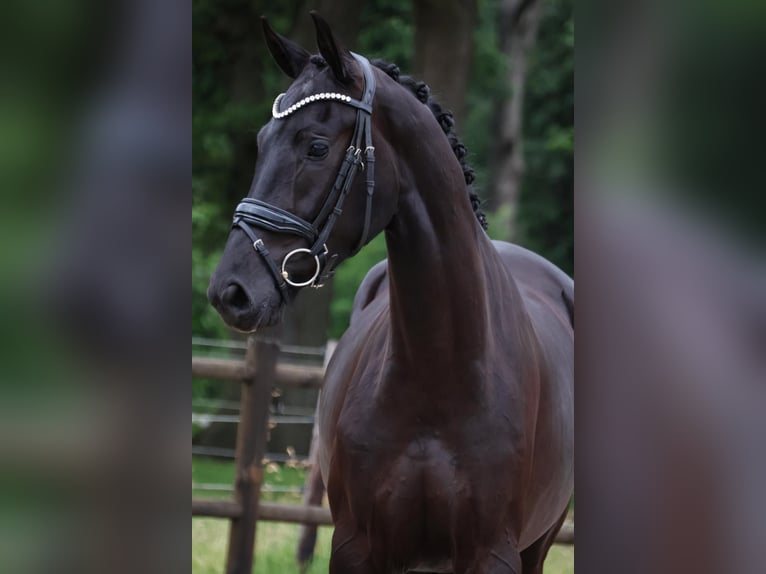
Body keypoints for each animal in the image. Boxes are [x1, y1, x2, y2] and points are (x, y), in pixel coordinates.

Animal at [208, 13, 574, 574]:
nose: (231, 291)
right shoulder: (356, 546)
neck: (439, 372)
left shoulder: (494, 554)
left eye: (316, 146)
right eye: (263, 139)